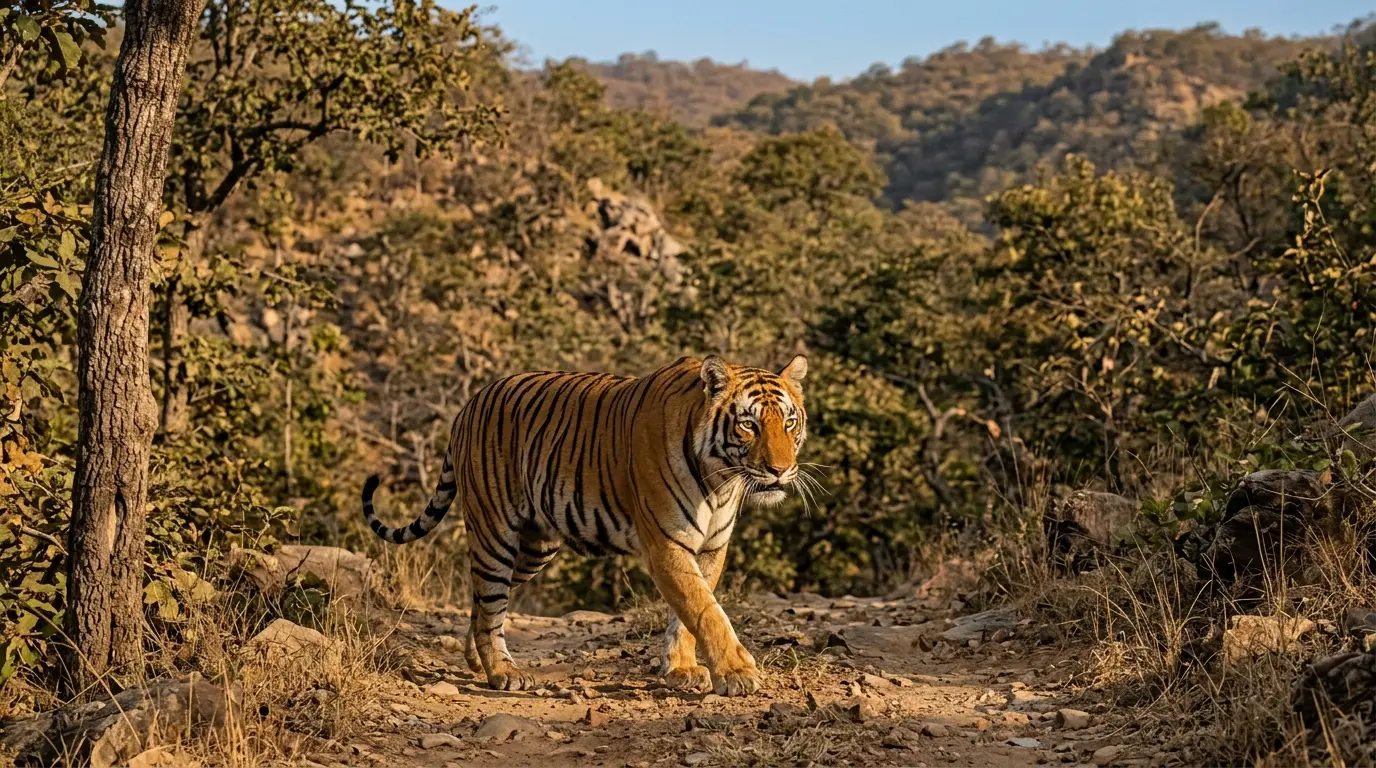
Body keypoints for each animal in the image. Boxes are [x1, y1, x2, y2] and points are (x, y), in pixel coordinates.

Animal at [361, 354, 809, 697]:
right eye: (748, 424)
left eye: (789, 423)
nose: (780, 470)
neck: (721, 480)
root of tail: (469, 404)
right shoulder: (667, 544)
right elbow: (704, 609)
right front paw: (737, 673)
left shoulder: (712, 547)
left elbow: (688, 614)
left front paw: (682, 669)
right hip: (494, 532)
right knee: (489, 602)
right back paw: (503, 672)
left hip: (536, 548)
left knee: (483, 600)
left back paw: (477, 660)